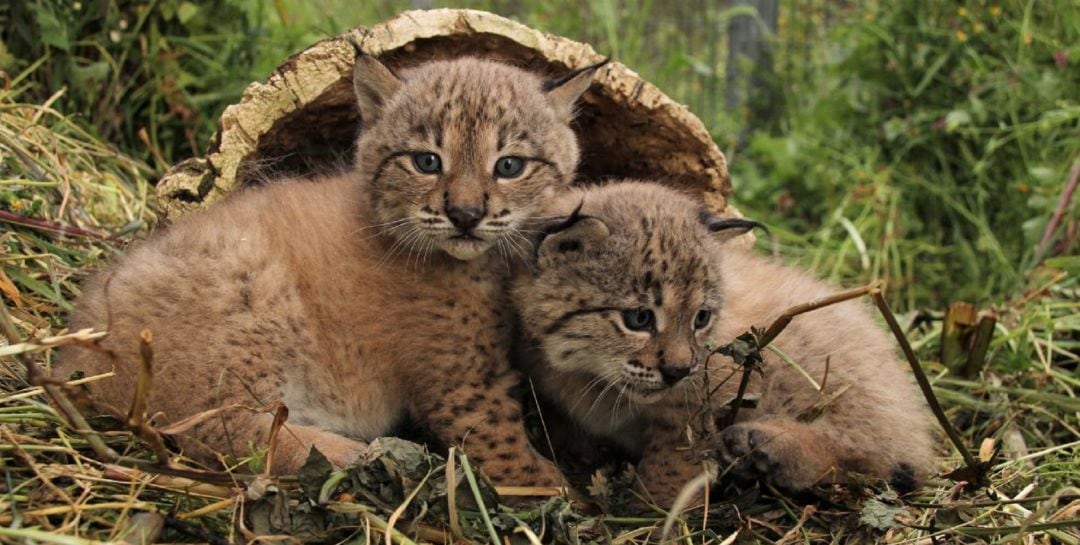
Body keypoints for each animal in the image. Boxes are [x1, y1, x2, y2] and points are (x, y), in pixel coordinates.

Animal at [54, 49, 604, 483]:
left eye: (510, 166)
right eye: (427, 162)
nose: (465, 215)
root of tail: (73, 341)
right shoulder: (462, 380)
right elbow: (504, 450)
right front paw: (556, 494)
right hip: (253, 295)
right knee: (221, 429)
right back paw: (354, 455)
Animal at [514, 181, 937, 505]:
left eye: (701, 318)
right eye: (639, 318)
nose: (679, 370)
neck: (592, 377)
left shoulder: (699, 398)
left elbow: (673, 460)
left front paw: (655, 514)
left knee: (881, 455)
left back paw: (766, 446)